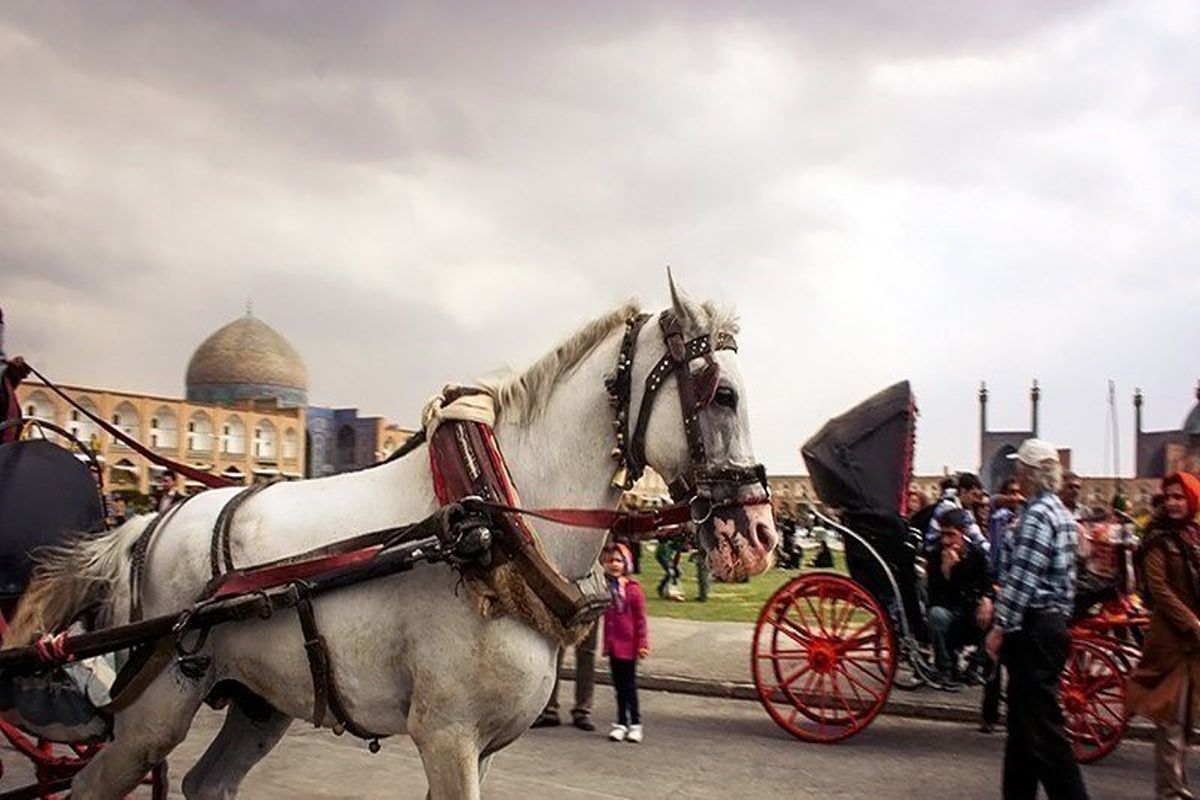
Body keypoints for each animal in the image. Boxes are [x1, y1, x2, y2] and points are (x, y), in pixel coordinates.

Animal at [7, 278, 777, 796]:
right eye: (722, 394)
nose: (760, 532)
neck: (491, 526)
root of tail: (146, 525)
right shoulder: (446, 732)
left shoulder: (480, 746)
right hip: (155, 703)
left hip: (259, 699)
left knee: (207, 783)